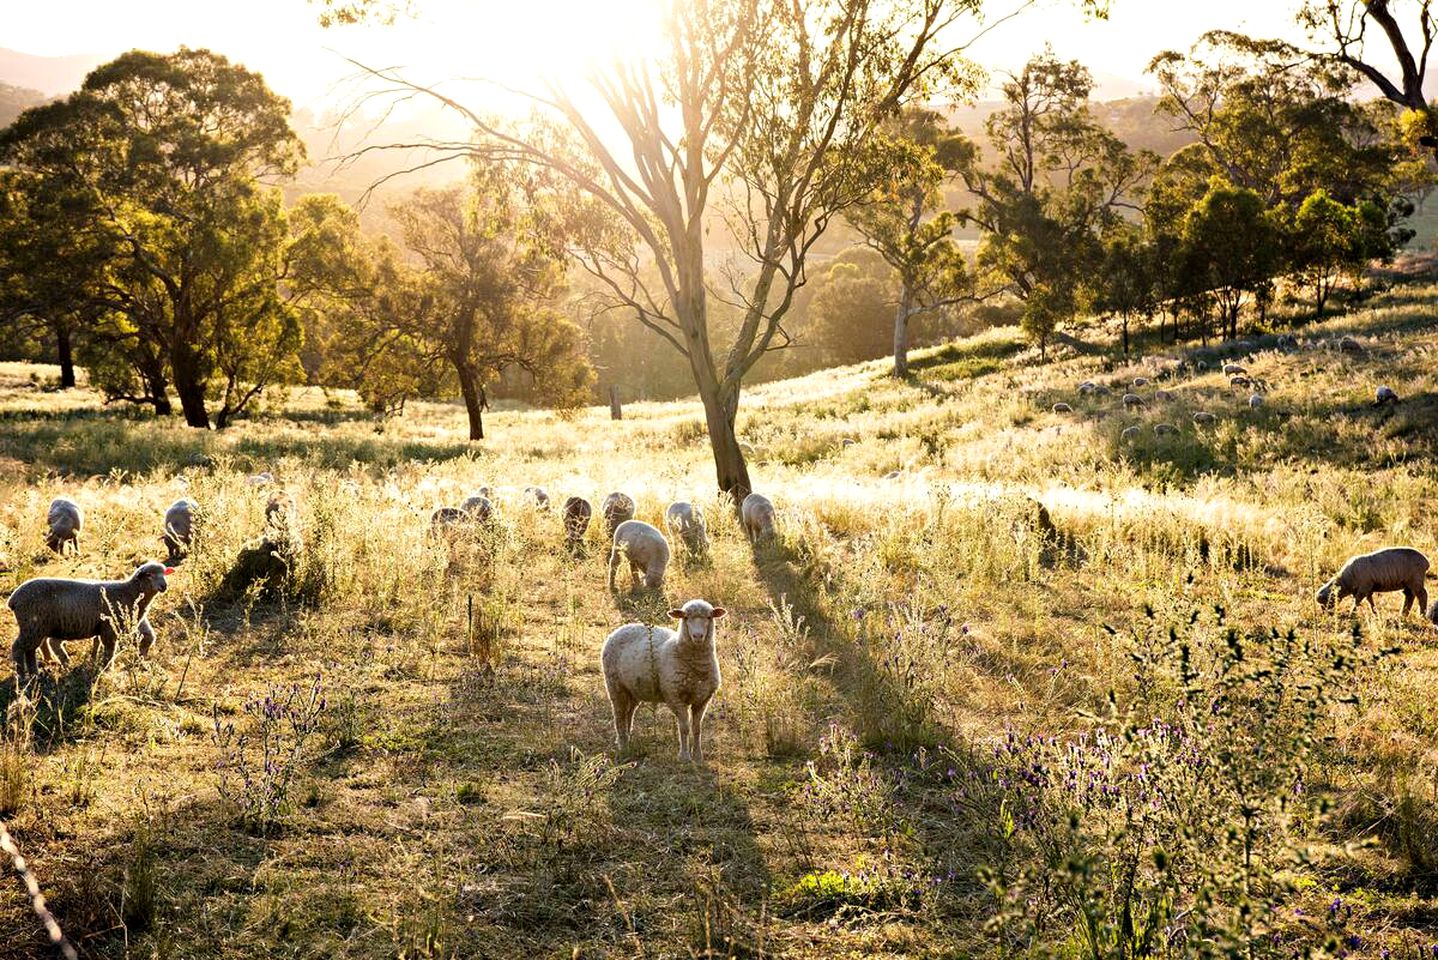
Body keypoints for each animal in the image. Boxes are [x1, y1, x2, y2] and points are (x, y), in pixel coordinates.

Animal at [7, 557, 169, 678]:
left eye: (164, 574)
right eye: (149, 575)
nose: (164, 586)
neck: (129, 592)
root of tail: (13, 598)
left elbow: (100, 646)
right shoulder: (109, 629)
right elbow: (109, 651)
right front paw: (108, 670)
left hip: (36, 628)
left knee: (30, 650)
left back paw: (35, 674)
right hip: (32, 625)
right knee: (18, 647)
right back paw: (22, 676)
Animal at [598, 594, 724, 758]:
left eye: (709, 617)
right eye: (686, 617)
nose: (697, 636)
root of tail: (620, 629)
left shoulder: (703, 699)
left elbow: (697, 729)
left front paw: (698, 755)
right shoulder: (674, 696)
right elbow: (684, 727)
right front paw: (684, 756)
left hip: (633, 689)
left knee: (628, 713)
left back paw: (627, 738)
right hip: (615, 685)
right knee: (619, 715)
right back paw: (623, 746)